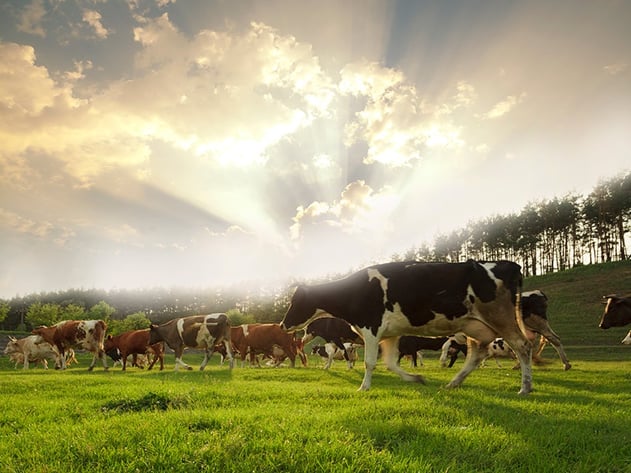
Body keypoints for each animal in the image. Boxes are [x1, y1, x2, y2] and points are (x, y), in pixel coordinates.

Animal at [282, 260, 532, 392]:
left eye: (295, 302)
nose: (283, 324)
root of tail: (510, 265)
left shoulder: (371, 329)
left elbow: (369, 362)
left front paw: (364, 387)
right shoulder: (390, 334)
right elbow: (390, 364)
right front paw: (416, 378)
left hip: (501, 317)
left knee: (523, 346)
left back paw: (525, 387)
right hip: (475, 326)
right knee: (476, 355)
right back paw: (453, 382)